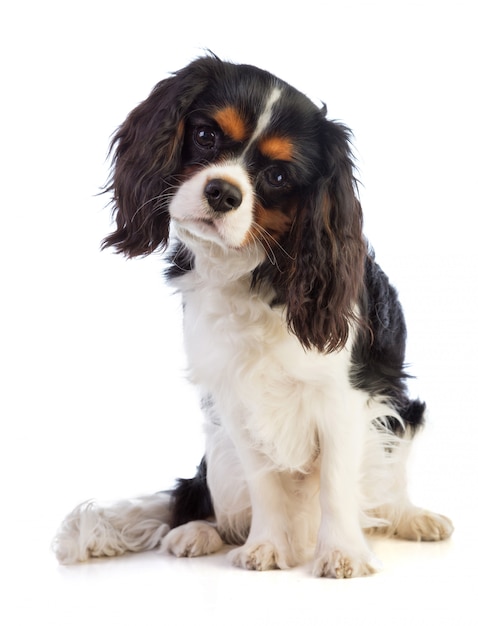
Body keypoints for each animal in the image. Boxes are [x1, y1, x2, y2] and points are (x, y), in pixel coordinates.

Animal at [52, 54, 452, 576]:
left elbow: (337, 483)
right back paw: (198, 532)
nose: (223, 192)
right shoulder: (234, 398)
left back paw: (412, 518)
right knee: (203, 502)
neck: (255, 272)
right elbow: (264, 482)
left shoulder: (345, 398)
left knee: (389, 492)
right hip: (218, 454)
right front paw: (267, 545)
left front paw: (341, 553)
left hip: (399, 423)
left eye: (278, 177)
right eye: (205, 136)